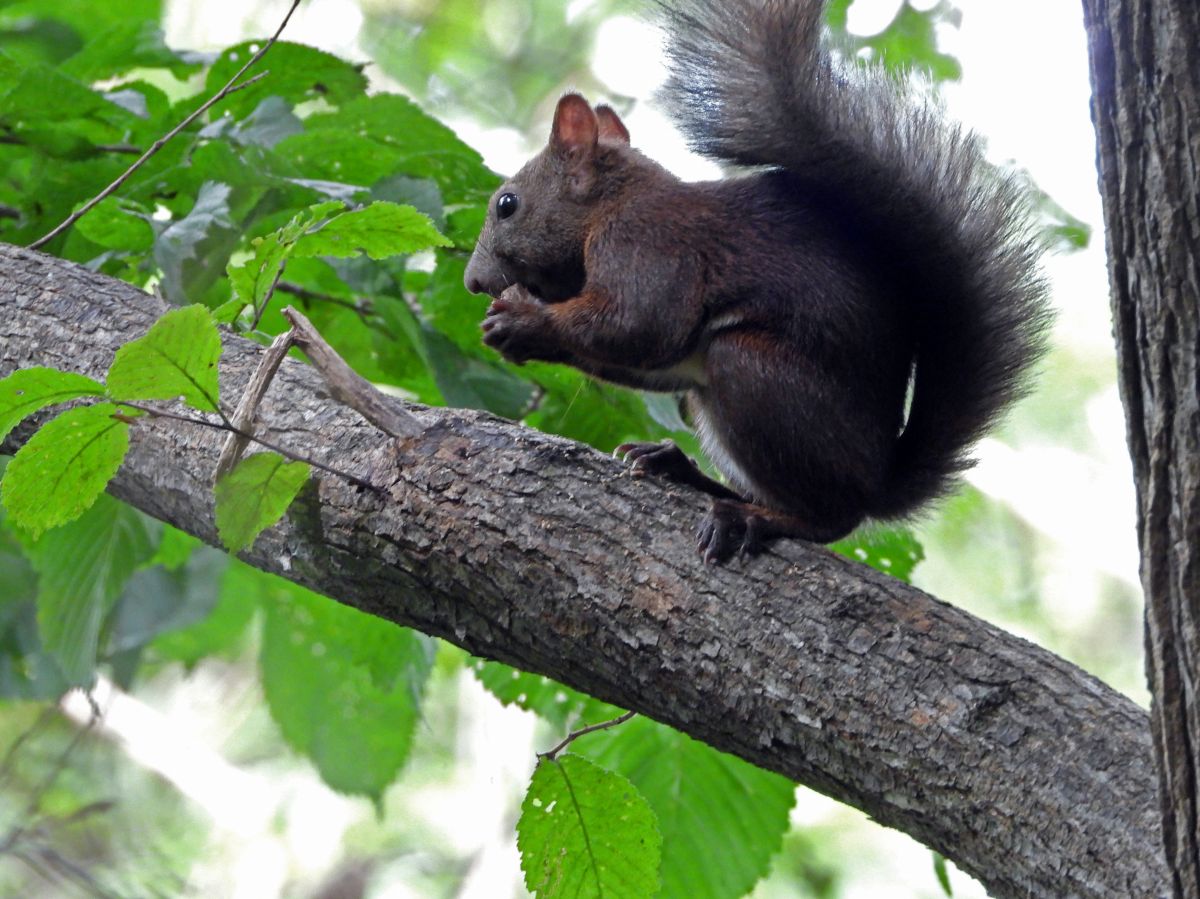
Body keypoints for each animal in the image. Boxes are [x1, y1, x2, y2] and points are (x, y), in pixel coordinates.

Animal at [463, 0, 1050, 564]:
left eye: (507, 204)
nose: (471, 282)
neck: (612, 202)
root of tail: (877, 481)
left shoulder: (647, 244)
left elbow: (642, 325)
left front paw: (523, 322)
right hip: (710, 403)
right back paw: (679, 468)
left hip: (754, 374)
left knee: (832, 518)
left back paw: (754, 517)